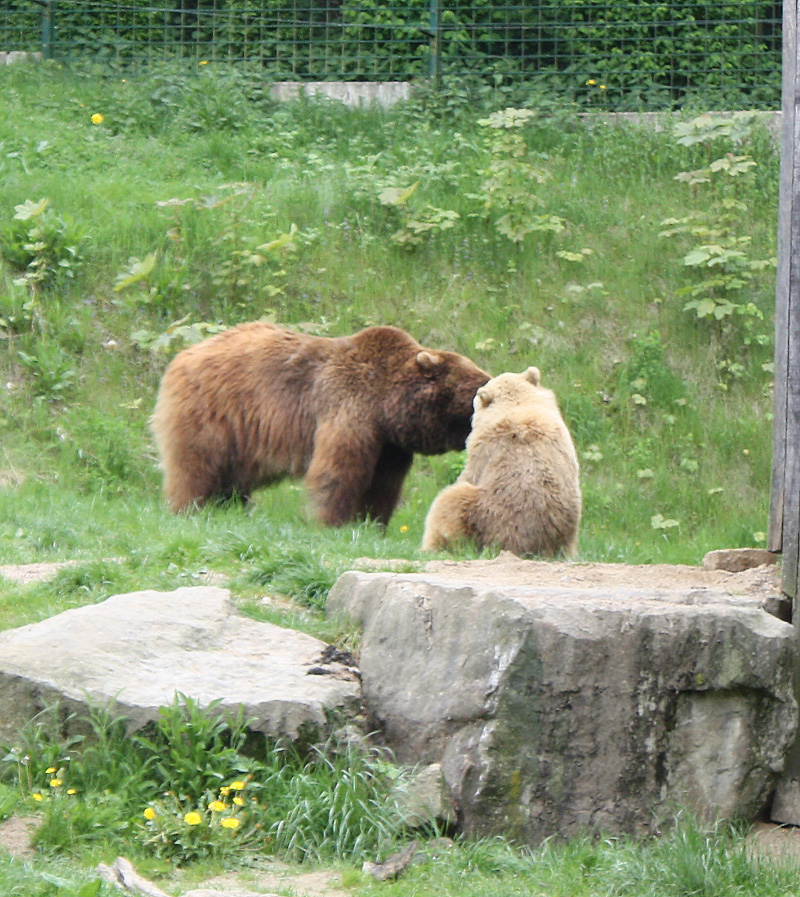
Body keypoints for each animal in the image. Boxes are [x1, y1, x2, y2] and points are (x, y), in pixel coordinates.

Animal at [147, 322, 490, 524]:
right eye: (478, 388)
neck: (386, 404)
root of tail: (183, 355)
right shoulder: (348, 408)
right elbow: (338, 472)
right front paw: (331, 521)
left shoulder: (390, 443)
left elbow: (384, 484)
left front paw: (372, 522)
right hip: (213, 411)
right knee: (196, 463)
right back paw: (188, 508)